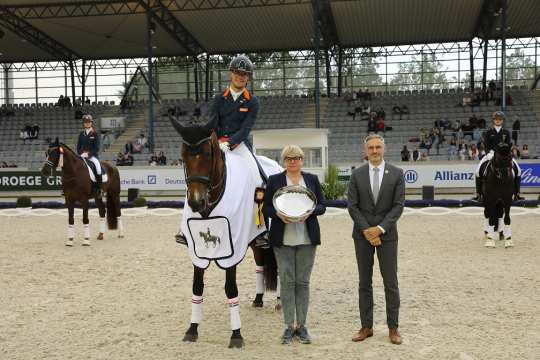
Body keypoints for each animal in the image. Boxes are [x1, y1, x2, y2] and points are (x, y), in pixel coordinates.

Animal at [170, 114, 278, 348]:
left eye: (208, 154)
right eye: (183, 156)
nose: (196, 202)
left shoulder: (232, 248)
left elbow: (231, 289)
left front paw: (236, 335)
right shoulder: (197, 251)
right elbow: (197, 287)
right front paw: (192, 329)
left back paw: (280, 302)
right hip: (255, 238)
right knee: (260, 263)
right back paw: (258, 299)